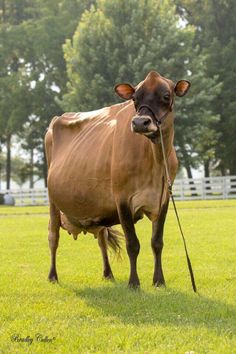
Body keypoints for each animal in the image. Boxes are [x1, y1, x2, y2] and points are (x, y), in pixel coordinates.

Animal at [45, 71, 190, 288]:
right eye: (135, 98)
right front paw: (134, 283)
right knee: (53, 236)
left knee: (102, 238)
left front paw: (159, 281)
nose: (140, 123)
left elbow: (157, 242)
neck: (155, 161)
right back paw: (52, 276)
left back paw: (108, 274)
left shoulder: (163, 199)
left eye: (166, 96)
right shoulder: (122, 199)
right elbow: (133, 244)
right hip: (53, 201)